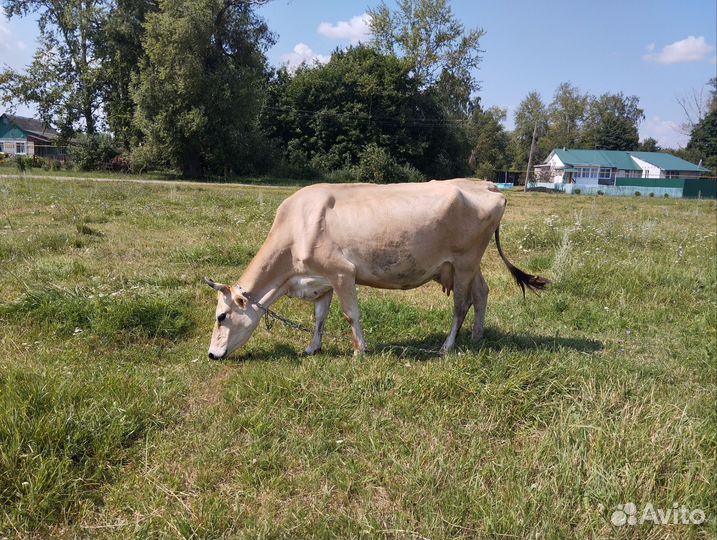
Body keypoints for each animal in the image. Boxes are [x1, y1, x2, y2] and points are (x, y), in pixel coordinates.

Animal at [204, 179, 544, 360]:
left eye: (222, 316)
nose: (211, 354)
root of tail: (485, 184)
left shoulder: (342, 271)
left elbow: (350, 314)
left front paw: (359, 351)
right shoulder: (321, 279)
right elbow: (319, 317)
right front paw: (312, 347)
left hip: (464, 262)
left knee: (461, 306)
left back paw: (448, 346)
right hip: (467, 264)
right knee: (482, 293)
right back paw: (476, 336)